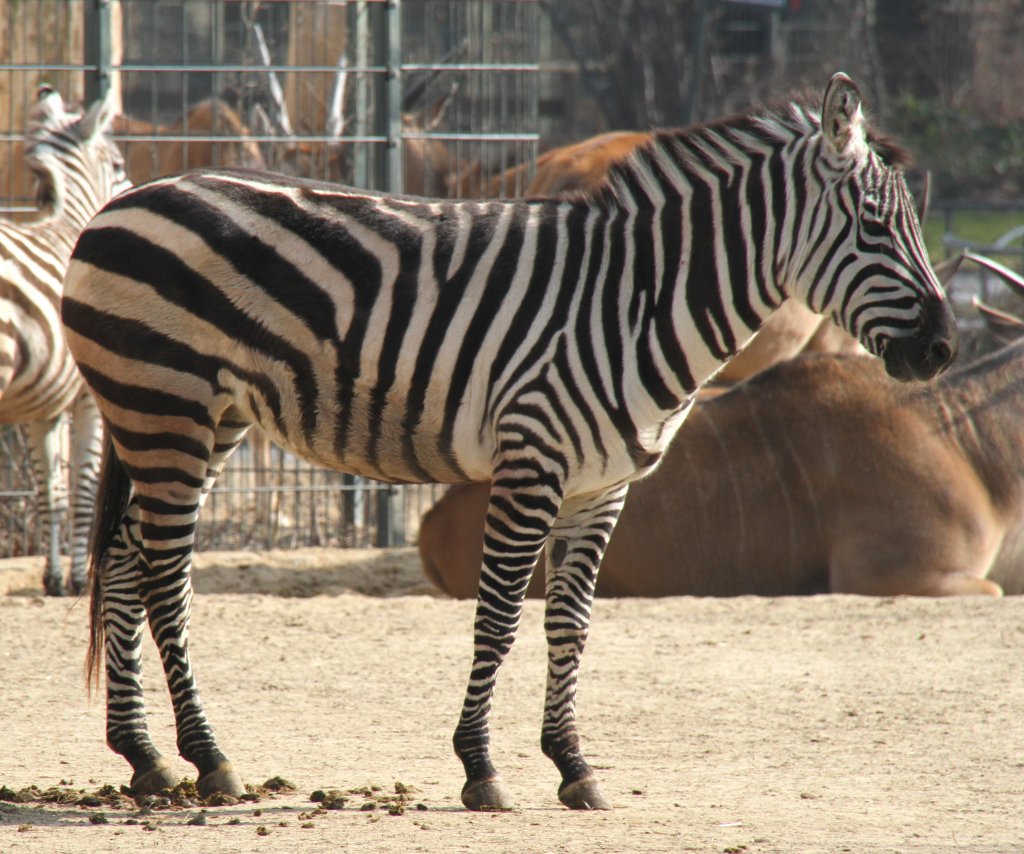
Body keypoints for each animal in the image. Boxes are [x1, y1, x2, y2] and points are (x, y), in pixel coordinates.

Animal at [1, 84, 129, 593]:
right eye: (118, 164)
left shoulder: (42, 407)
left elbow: (49, 492)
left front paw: (53, 576)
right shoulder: (89, 398)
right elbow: (84, 489)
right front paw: (76, 576)